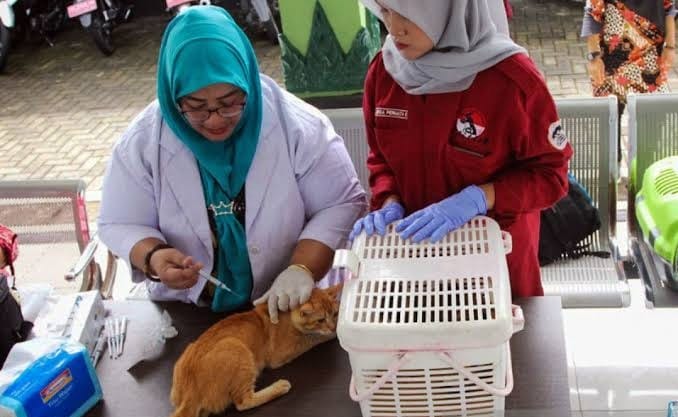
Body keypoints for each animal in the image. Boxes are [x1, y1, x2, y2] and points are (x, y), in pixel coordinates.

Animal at [170, 284, 340, 414]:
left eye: (335, 313)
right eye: (321, 320)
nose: (332, 327)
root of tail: (189, 393)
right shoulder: (283, 353)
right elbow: (315, 338)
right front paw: (335, 334)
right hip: (237, 349)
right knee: (243, 402)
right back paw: (279, 386)